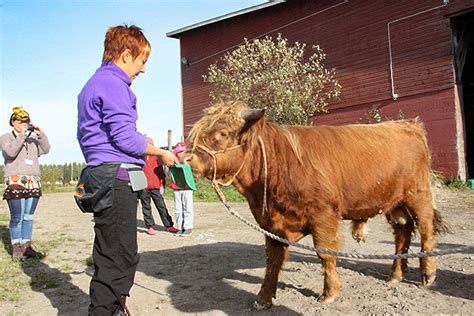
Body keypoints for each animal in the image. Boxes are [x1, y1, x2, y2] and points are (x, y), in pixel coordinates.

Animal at [182, 100, 448, 308]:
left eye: (222, 134)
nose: (188, 158)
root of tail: (406, 124)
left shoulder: (323, 215)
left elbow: (324, 252)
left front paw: (330, 293)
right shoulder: (270, 223)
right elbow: (273, 258)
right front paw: (264, 297)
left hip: (418, 194)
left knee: (426, 229)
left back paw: (428, 274)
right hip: (394, 202)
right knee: (402, 231)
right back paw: (395, 276)